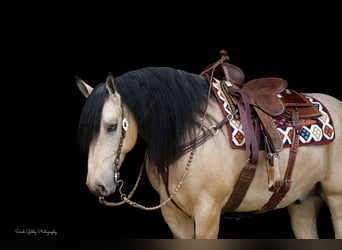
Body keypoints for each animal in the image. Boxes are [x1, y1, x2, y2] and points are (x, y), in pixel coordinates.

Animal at [75, 51, 342, 238]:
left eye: (111, 126)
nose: (96, 185)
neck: (188, 133)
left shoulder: (207, 213)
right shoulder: (174, 216)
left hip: (335, 198)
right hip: (303, 203)